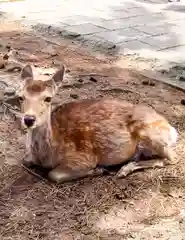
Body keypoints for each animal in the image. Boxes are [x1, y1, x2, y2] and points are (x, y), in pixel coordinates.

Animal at [17, 64, 178, 183]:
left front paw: (99, 170)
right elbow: (24, 160)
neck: (47, 155)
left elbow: (54, 175)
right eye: (20, 97)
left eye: (48, 98)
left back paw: (123, 170)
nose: (29, 119)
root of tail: (172, 130)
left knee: (172, 158)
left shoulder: (84, 157)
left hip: (152, 134)